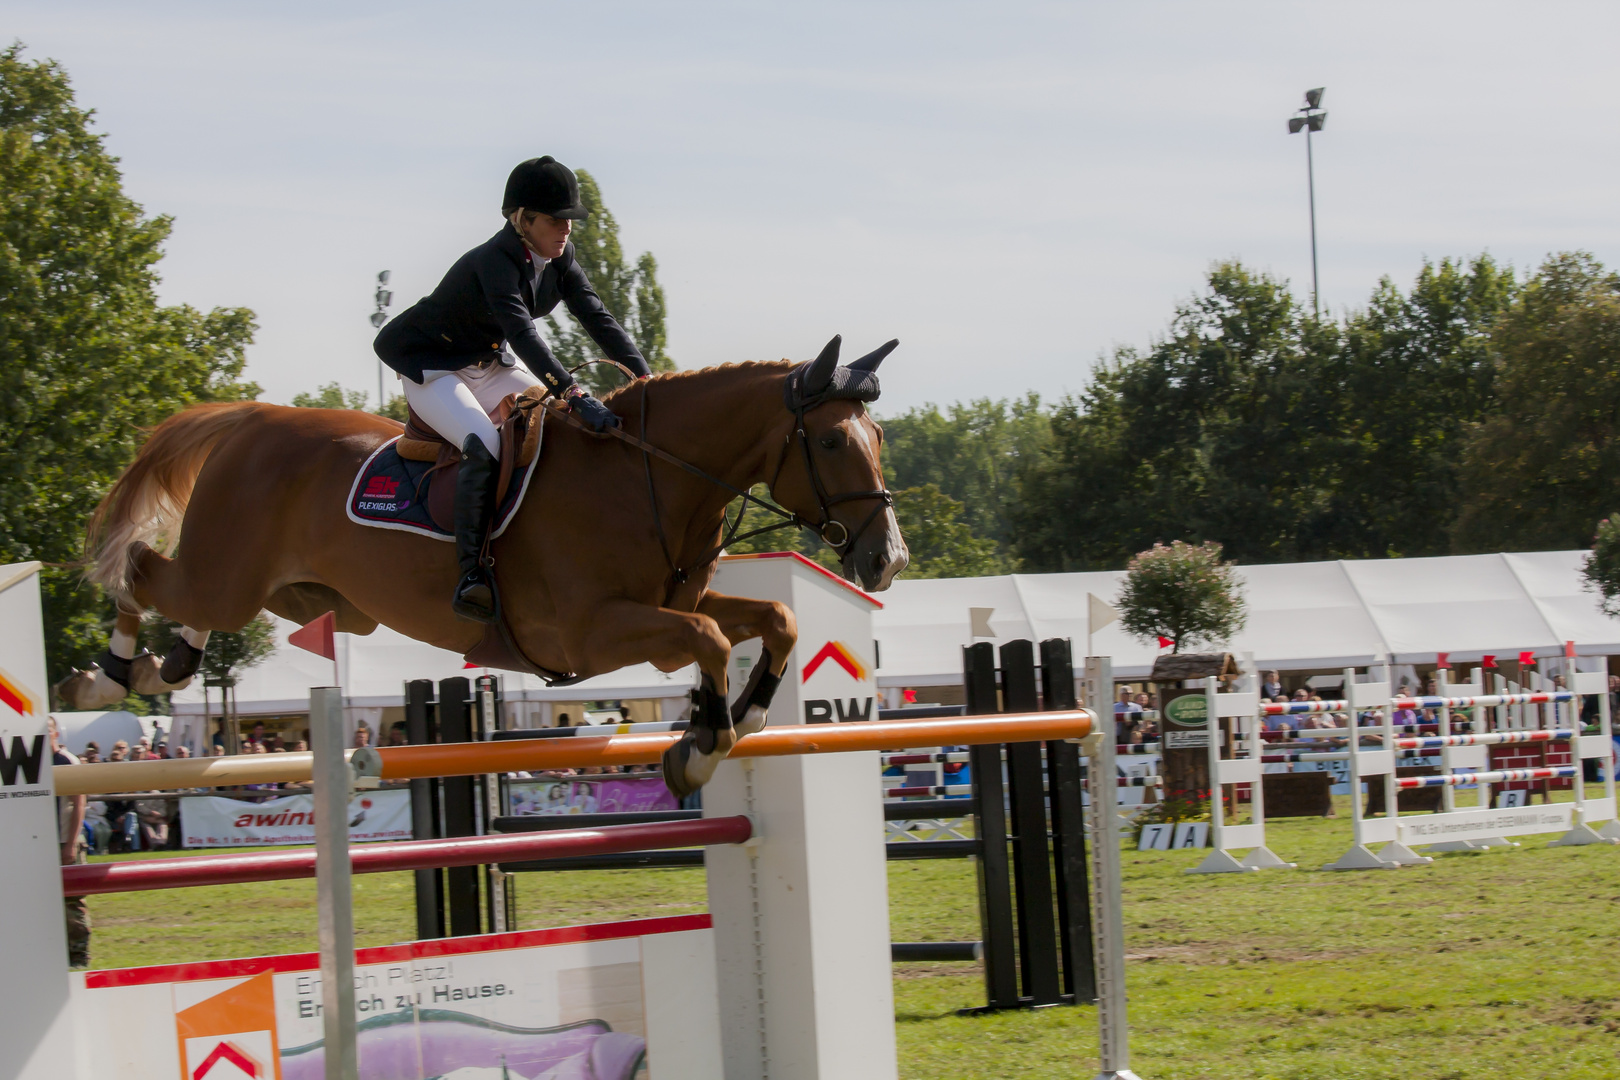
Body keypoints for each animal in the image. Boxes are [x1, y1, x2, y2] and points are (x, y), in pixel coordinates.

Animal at [69, 341, 907, 799]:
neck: (648, 475)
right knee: (142, 569)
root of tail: (252, 419)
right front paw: (701, 746)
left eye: (877, 435)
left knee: (183, 601)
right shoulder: (593, 633)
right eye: (832, 442)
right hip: (234, 578)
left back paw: (169, 662)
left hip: (298, 596)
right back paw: (106, 678)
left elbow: (776, 619)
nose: (888, 559)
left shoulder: (669, 605)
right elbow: (708, 638)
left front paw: (742, 717)